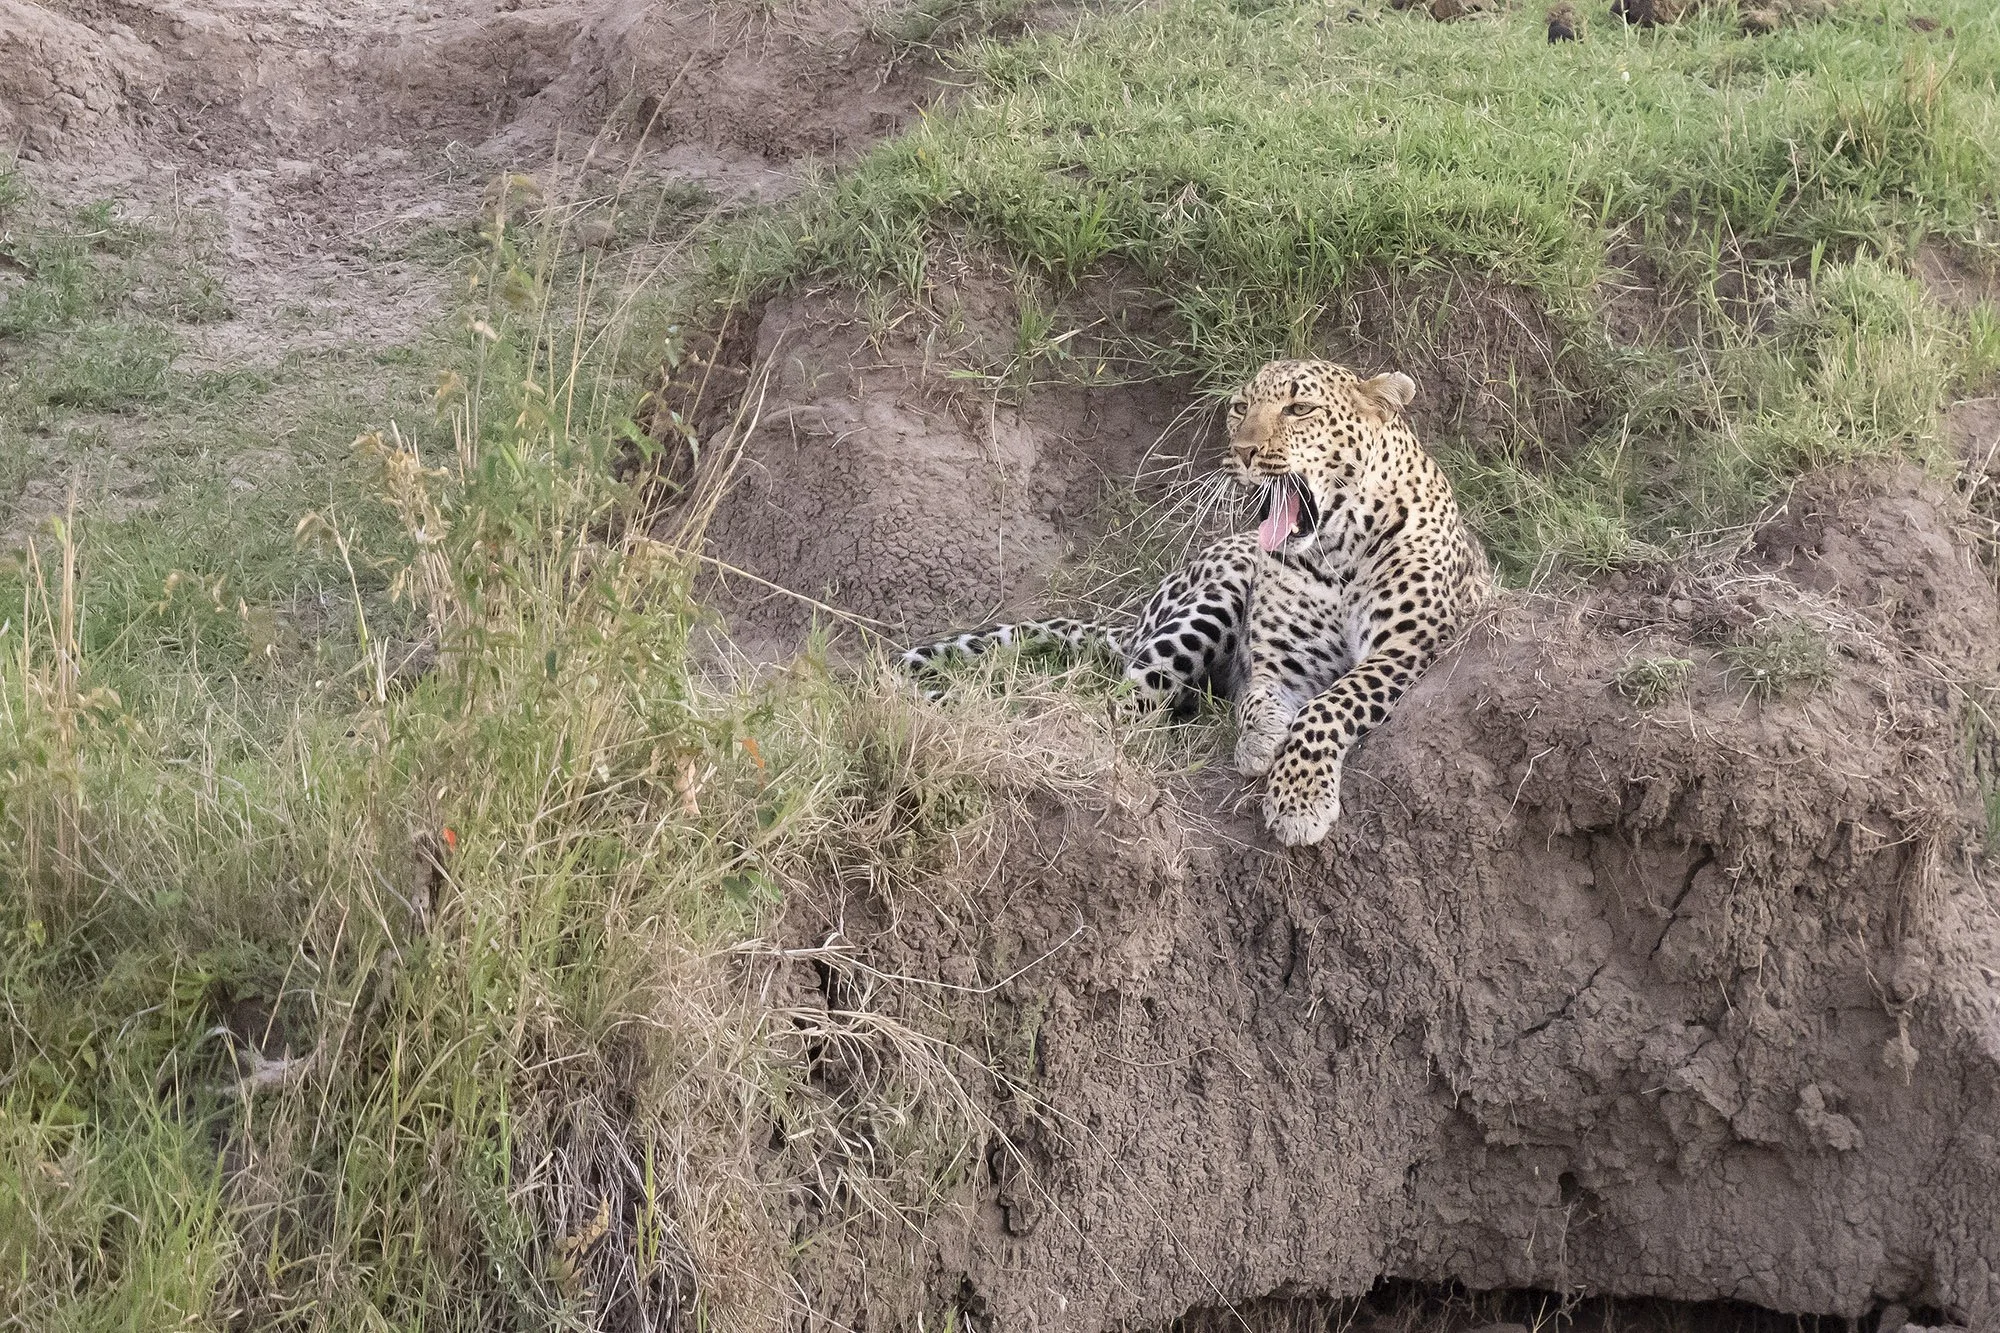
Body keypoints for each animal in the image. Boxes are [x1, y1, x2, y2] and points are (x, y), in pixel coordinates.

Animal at [899, 358, 1485, 847]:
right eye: (1241, 407)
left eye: (1300, 409)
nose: (1244, 453)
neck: (1336, 552)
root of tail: (1132, 621)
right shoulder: (1282, 664)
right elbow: (1259, 698)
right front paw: (1259, 741)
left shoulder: (1405, 648)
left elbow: (1330, 704)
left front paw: (1298, 800)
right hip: (1216, 595)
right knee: (1118, 703)